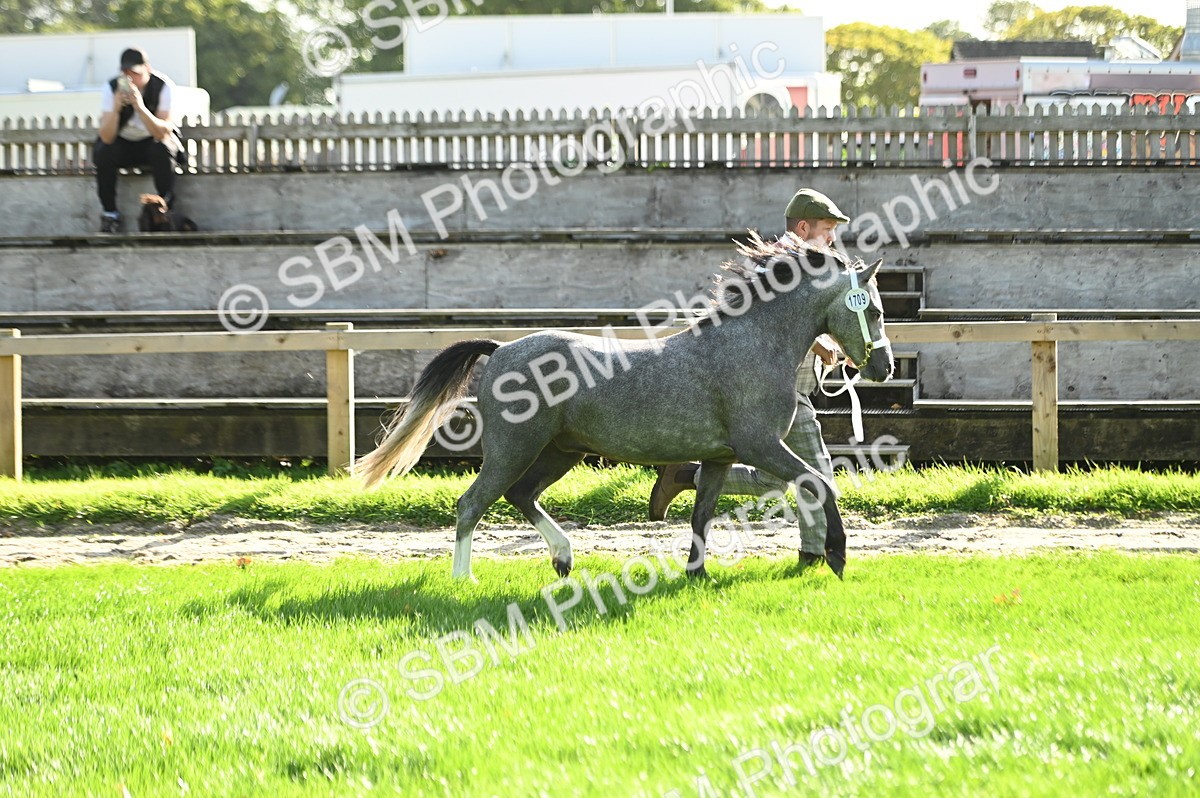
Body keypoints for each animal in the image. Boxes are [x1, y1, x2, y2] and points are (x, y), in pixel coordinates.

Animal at [355, 237, 894, 580]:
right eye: (873, 309)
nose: (884, 366)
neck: (751, 344)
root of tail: (501, 349)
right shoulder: (760, 445)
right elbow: (819, 482)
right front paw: (837, 556)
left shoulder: (720, 457)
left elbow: (702, 514)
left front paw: (695, 575)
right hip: (514, 449)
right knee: (472, 504)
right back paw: (463, 580)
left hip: (560, 451)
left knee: (520, 496)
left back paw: (564, 560)